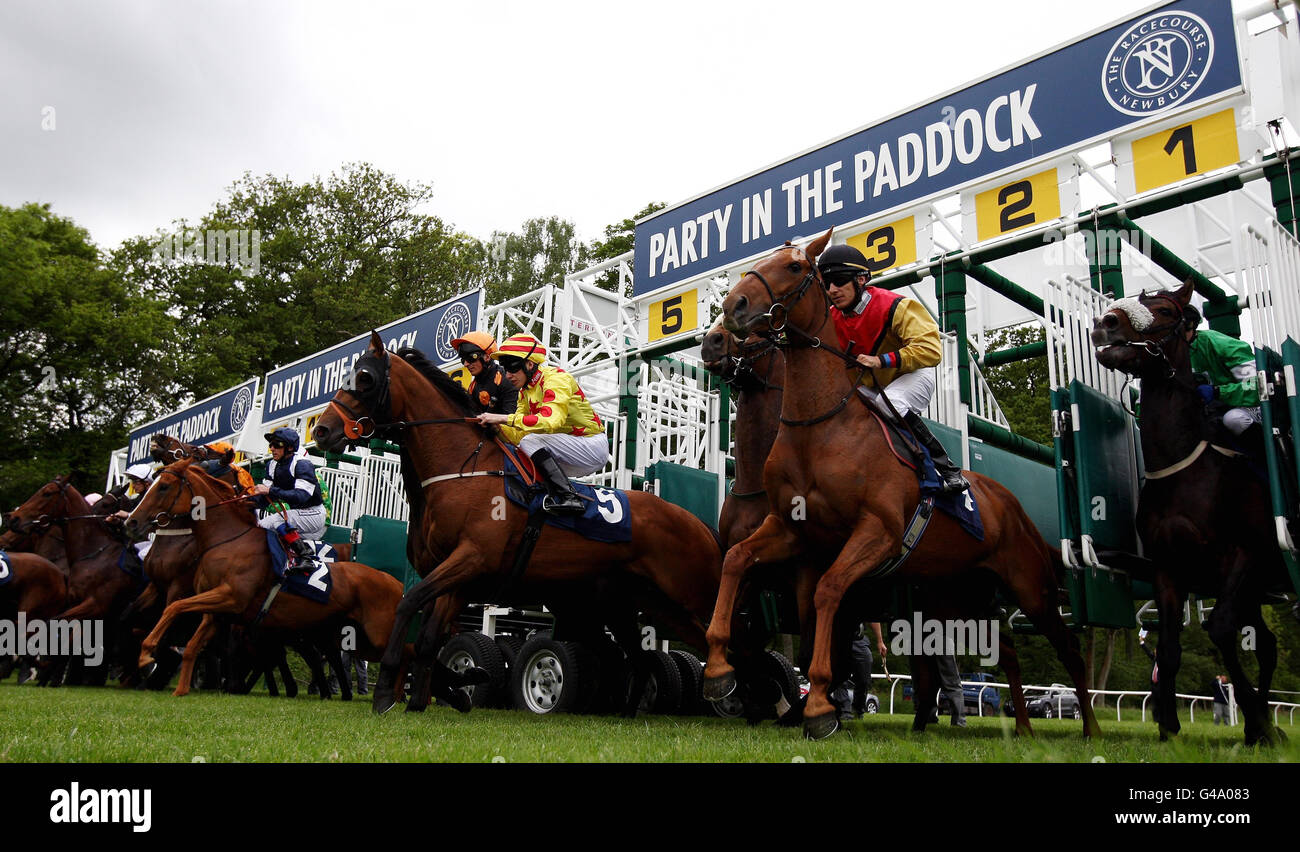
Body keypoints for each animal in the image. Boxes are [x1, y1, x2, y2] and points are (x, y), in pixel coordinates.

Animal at [122, 463, 405, 697]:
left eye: (164, 487)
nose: (131, 522)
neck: (227, 540)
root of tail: (395, 583)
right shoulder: (216, 610)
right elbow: (192, 644)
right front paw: (179, 689)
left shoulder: (229, 597)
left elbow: (174, 607)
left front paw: (146, 654)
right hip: (352, 637)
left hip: (375, 634)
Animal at [310, 330, 728, 718]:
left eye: (365, 378)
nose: (321, 431)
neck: (460, 469)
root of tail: (696, 521)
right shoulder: (452, 577)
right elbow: (429, 640)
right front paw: (444, 692)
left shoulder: (471, 559)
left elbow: (408, 604)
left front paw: (386, 692)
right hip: (623, 604)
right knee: (639, 657)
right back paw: (629, 710)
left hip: (690, 591)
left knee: (719, 636)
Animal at [712, 231, 1097, 738]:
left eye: (794, 267)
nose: (730, 309)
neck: (818, 427)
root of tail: (1011, 503)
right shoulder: (790, 529)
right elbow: (737, 561)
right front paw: (720, 671)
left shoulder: (877, 532)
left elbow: (828, 593)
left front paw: (819, 707)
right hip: (962, 590)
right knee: (1007, 652)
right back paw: (1021, 728)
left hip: (1029, 585)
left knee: (1068, 648)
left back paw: (1089, 729)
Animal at [1086, 282, 1289, 749]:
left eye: (1163, 309)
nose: (1105, 323)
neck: (1184, 466)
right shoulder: (1168, 566)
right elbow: (1169, 647)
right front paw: (1169, 726)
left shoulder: (1244, 553)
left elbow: (1220, 630)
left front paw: (1255, 718)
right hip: (1252, 591)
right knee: (1268, 643)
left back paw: (1263, 725)